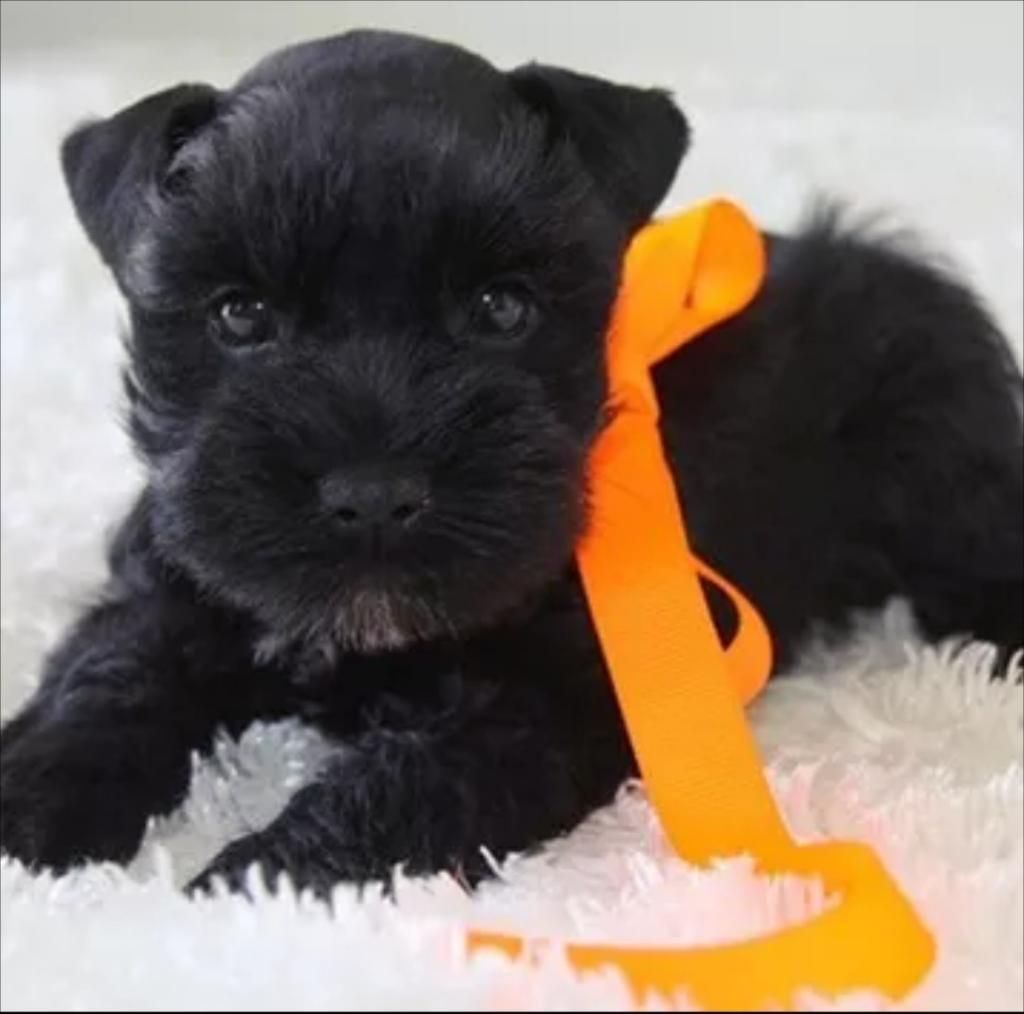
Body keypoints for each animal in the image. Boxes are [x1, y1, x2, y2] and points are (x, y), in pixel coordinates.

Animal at [2, 29, 1024, 897]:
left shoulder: (553, 694)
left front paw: (266, 876)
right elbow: (105, 684)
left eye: (501, 307)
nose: (373, 495)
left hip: (946, 479)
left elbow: (418, 778)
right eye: (240, 314)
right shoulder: (169, 589)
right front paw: (32, 800)